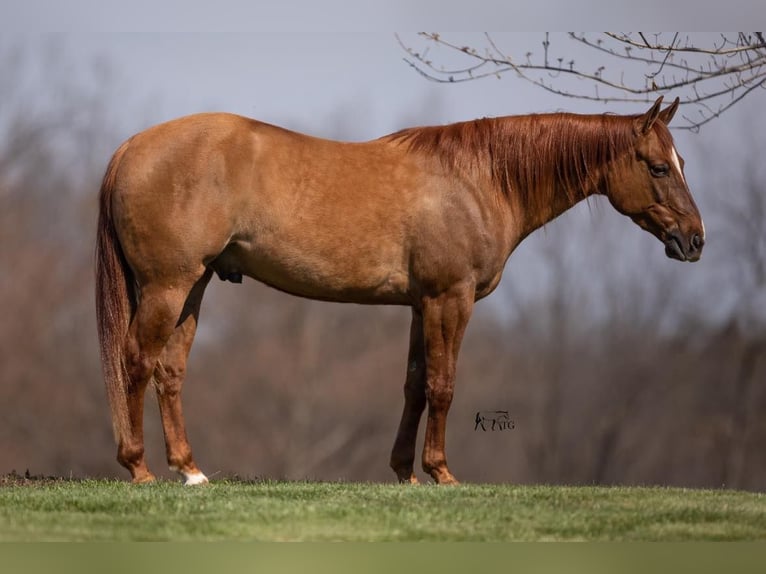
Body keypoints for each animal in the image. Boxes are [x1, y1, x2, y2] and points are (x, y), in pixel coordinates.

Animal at [96, 95, 708, 486]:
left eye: (681, 162)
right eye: (658, 167)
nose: (695, 240)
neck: (479, 179)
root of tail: (131, 146)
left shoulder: (421, 305)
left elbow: (415, 384)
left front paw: (405, 473)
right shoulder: (450, 299)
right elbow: (443, 385)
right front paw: (441, 472)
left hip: (192, 287)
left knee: (170, 369)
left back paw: (190, 470)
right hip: (168, 286)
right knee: (137, 360)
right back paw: (139, 468)